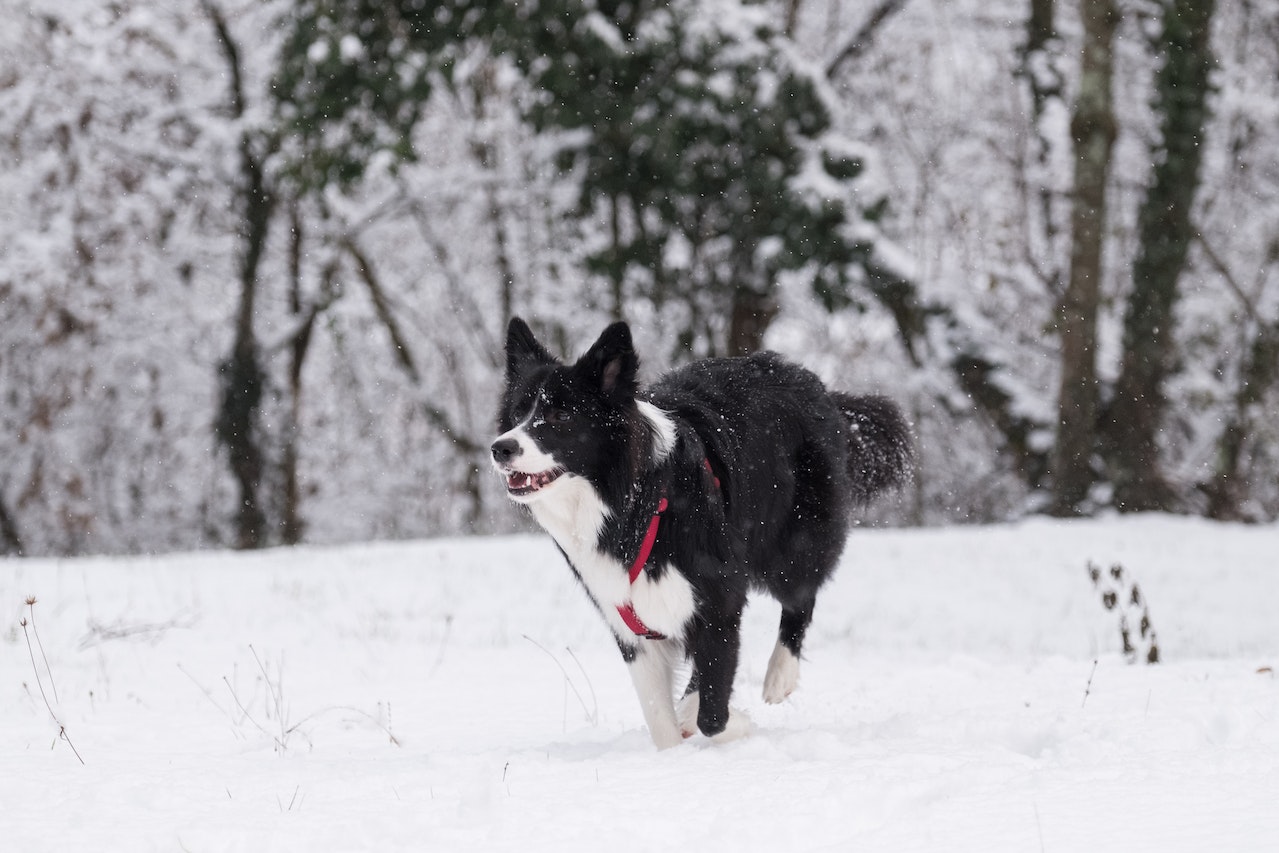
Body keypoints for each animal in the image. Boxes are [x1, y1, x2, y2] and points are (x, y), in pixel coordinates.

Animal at [488, 318, 910, 746]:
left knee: (801, 596)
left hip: (794, 546)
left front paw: (732, 721)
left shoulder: (719, 597)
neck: (634, 503)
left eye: (560, 416)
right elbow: (661, 718)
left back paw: (780, 675)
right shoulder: (628, 620)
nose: (500, 448)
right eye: (518, 412)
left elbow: (710, 714)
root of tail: (813, 383)